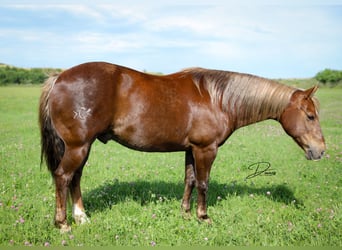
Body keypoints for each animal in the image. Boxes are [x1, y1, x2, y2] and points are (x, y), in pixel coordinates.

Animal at [38, 61, 324, 231]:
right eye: (310, 116)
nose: (320, 150)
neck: (217, 99)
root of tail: (59, 77)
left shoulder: (191, 149)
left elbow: (190, 180)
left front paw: (185, 213)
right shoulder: (206, 149)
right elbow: (204, 182)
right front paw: (203, 216)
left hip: (82, 147)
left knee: (75, 179)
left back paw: (81, 217)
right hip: (78, 147)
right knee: (63, 177)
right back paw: (63, 223)